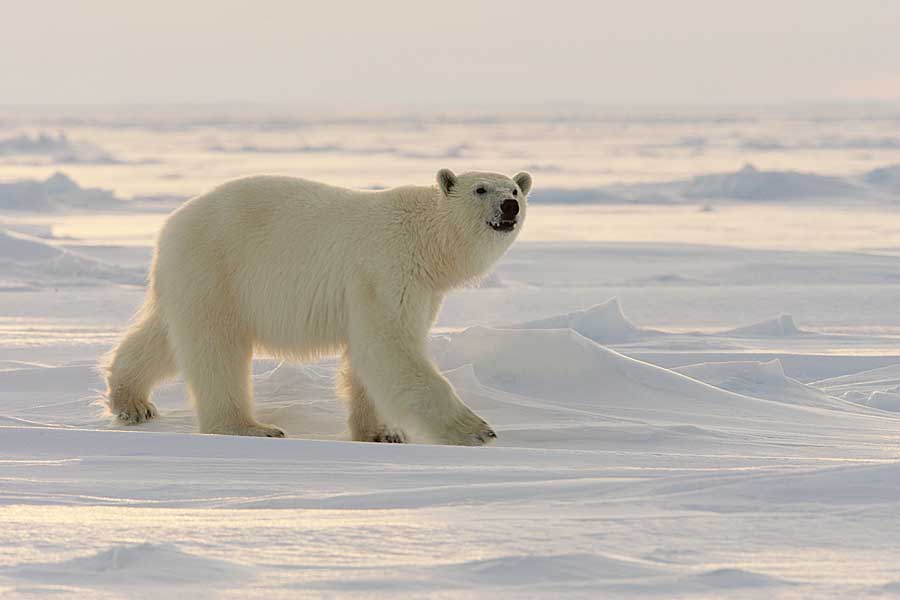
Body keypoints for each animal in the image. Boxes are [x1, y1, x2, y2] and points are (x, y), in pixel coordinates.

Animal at [103, 169, 532, 446]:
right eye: (480, 189)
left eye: (515, 188)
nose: (509, 206)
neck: (427, 241)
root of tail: (171, 224)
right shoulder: (387, 269)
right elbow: (390, 348)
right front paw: (476, 429)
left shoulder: (424, 290)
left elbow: (368, 357)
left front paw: (382, 432)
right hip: (217, 267)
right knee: (216, 348)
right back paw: (249, 426)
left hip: (193, 279)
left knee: (163, 338)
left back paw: (130, 401)